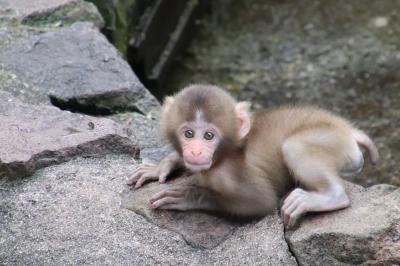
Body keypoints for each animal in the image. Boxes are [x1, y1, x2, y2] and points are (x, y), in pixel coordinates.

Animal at [126, 84, 378, 228]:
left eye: (208, 136)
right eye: (188, 134)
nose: (196, 151)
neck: (224, 154)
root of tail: (348, 131)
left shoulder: (229, 175)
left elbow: (261, 202)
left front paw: (190, 195)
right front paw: (160, 166)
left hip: (333, 140)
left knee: (294, 147)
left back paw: (329, 197)